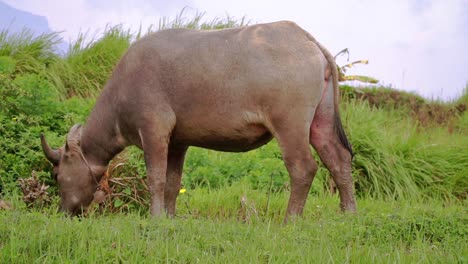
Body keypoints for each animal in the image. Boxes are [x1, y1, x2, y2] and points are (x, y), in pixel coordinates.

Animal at [41, 20, 354, 220]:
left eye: (56, 174)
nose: (63, 212)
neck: (122, 89)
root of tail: (307, 39)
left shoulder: (153, 130)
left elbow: (155, 177)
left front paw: (155, 217)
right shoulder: (178, 142)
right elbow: (172, 181)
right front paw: (169, 216)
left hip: (289, 126)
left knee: (303, 167)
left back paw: (291, 219)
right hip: (321, 122)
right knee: (338, 158)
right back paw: (348, 213)